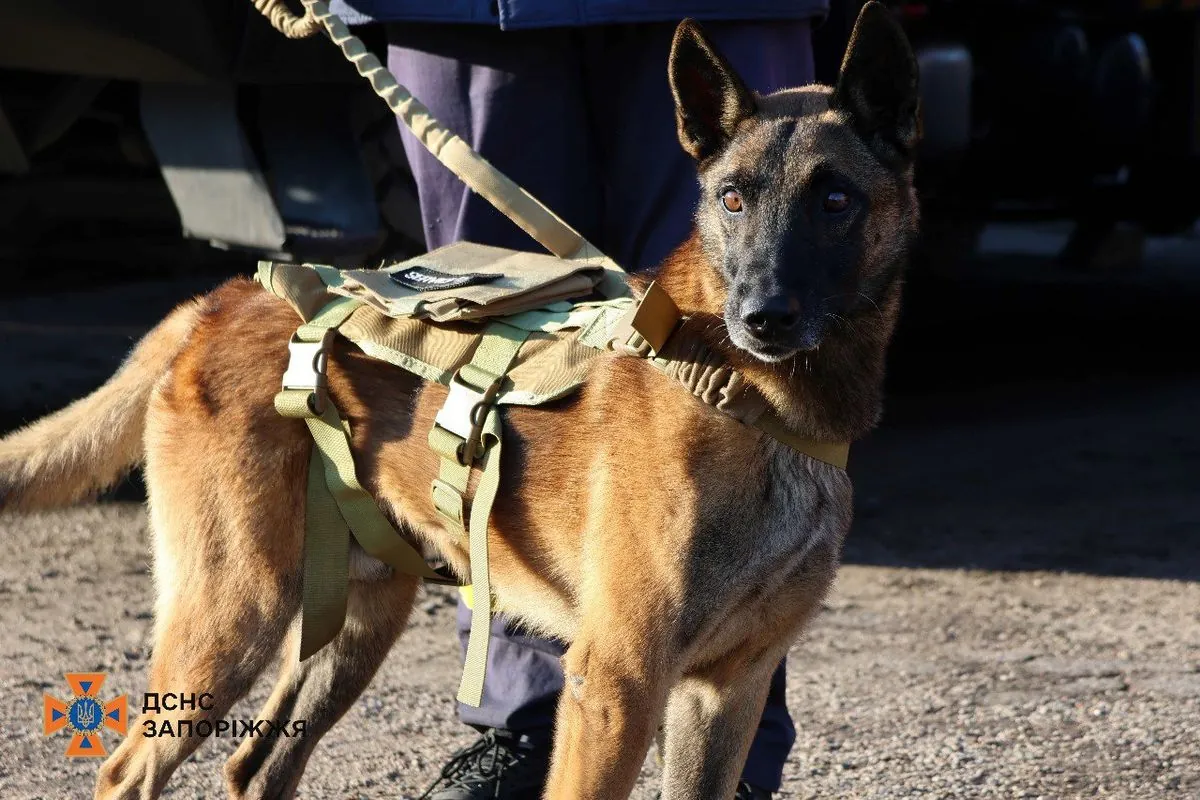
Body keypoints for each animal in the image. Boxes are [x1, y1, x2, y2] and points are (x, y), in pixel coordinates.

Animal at [0, 3, 916, 796]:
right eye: (732, 199)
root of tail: (222, 297)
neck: (754, 403)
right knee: (128, 771)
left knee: (255, 766)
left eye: (836, 200)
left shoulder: (727, 692)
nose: (761, 316)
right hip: (235, 613)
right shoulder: (616, 684)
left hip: (351, 624)